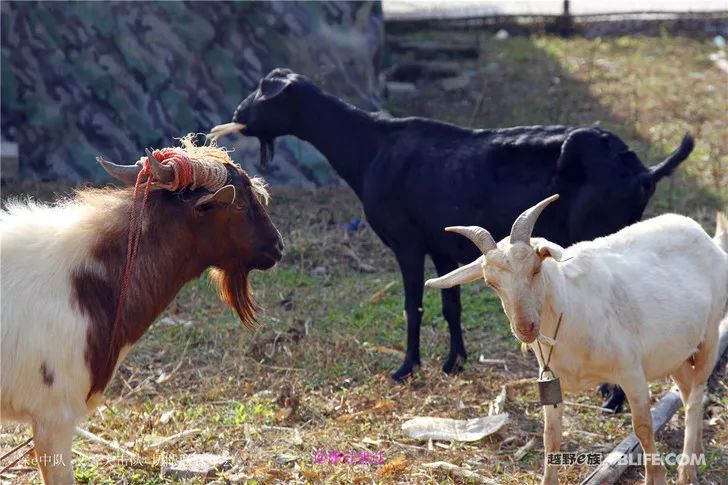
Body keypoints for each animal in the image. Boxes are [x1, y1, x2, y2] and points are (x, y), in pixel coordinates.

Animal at [210, 66, 692, 410]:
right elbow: (450, 304)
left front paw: (406, 368)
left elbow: (414, 304)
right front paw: (453, 362)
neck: (372, 148)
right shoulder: (445, 249)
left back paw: (614, 398)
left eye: (263, 92)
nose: (235, 117)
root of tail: (642, 172)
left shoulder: (407, 243)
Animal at [426, 195, 728, 482]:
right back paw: (697, 454)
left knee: (697, 393)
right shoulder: (552, 383)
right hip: (676, 352)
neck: (569, 307)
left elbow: (642, 427)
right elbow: (551, 436)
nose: (526, 327)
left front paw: (656, 478)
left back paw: (687, 470)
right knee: (688, 392)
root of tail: (707, 237)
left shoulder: (631, 372)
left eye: (535, 268)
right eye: (491, 283)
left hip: (710, 334)